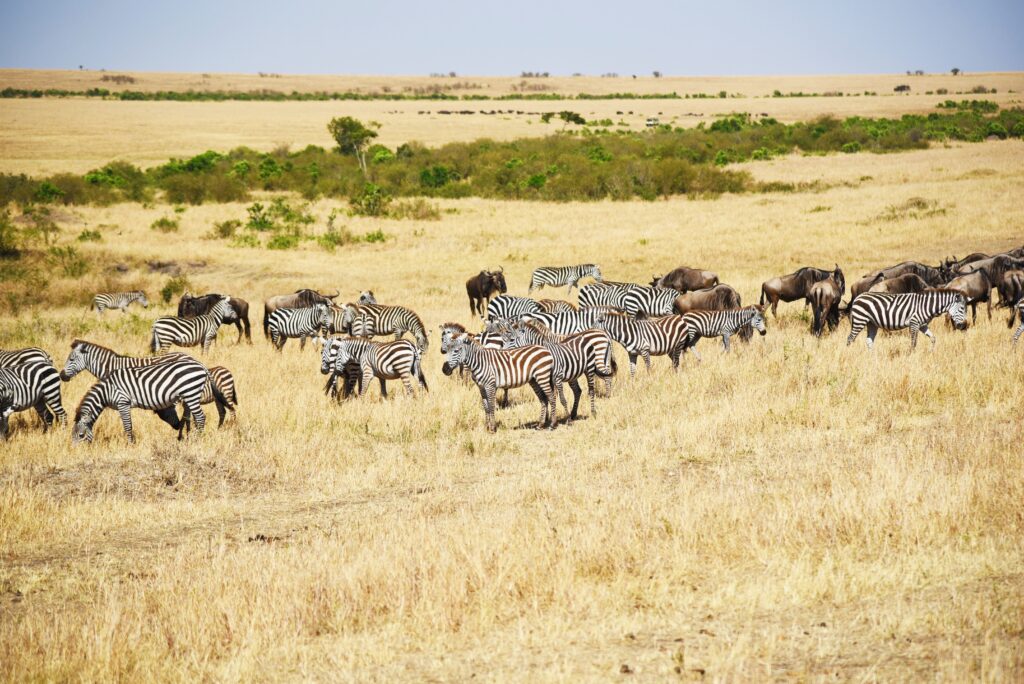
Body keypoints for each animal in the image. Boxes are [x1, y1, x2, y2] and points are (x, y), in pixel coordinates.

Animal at [71, 357, 224, 443]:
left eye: (81, 435)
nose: (75, 452)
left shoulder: (123, 402)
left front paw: (130, 444)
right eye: (72, 435)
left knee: (200, 417)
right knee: (192, 417)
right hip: (189, 395)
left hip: (191, 393)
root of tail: (201, 365)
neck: (107, 390)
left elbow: (127, 425)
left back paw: (198, 439)